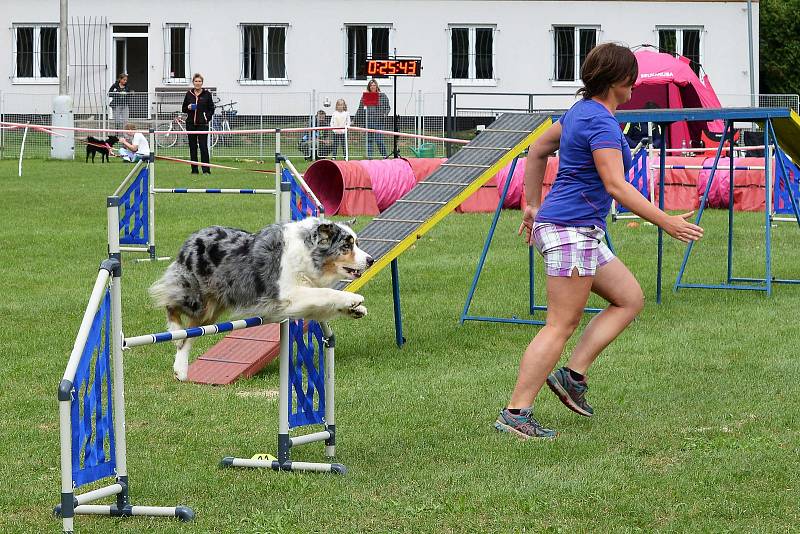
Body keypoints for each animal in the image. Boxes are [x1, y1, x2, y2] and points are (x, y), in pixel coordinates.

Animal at [149, 218, 372, 382]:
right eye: (346, 246)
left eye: (357, 243)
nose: (370, 260)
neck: (308, 253)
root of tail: (193, 237)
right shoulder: (287, 294)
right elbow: (326, 293)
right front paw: (354, 298)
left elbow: (324, 299)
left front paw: (355, 309)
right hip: (195, 298)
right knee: (171, 305)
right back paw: (175, 330)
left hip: (211, 310)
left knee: (190, 334)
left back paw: (180, 369)